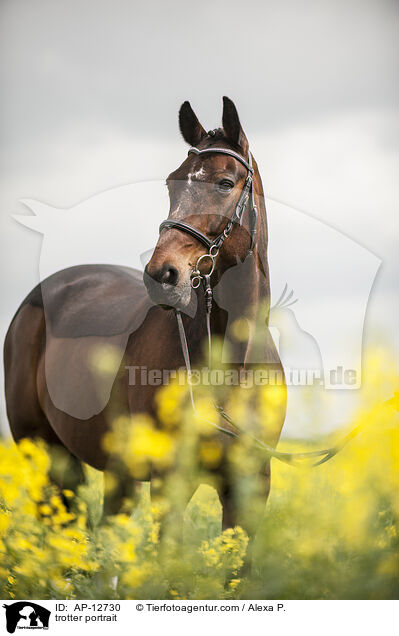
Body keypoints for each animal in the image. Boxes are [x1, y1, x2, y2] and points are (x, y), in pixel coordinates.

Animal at [4, 97, 290, 536]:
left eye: (225, 183)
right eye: (172, 183)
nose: (161, 275)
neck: (232, 366)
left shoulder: (251, 485)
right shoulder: (170, 482)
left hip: (113, 472)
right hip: (43, 451)